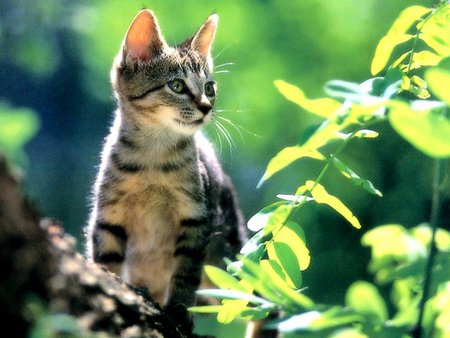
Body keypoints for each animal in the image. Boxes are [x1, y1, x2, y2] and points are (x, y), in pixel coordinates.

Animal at [85, 8, 244, 314]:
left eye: (210, 88)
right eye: (177, 85)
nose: (206, 107)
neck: (154, 161)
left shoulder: (196, 217)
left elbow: (185, 272)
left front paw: (180, 309)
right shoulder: (108, 216)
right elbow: (106, 261)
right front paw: (108, 283)